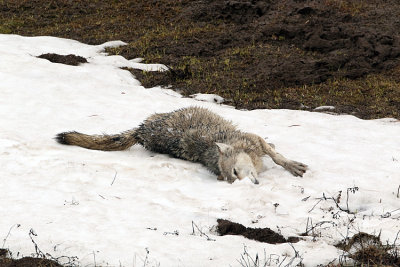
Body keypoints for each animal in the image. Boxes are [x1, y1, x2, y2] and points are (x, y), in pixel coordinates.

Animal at [55, 107, 306, 184]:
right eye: (233, 178)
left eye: (236, 171)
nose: (251, 185)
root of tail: (141, 131)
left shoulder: (256, 141)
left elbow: (277, 157)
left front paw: (292, 166)